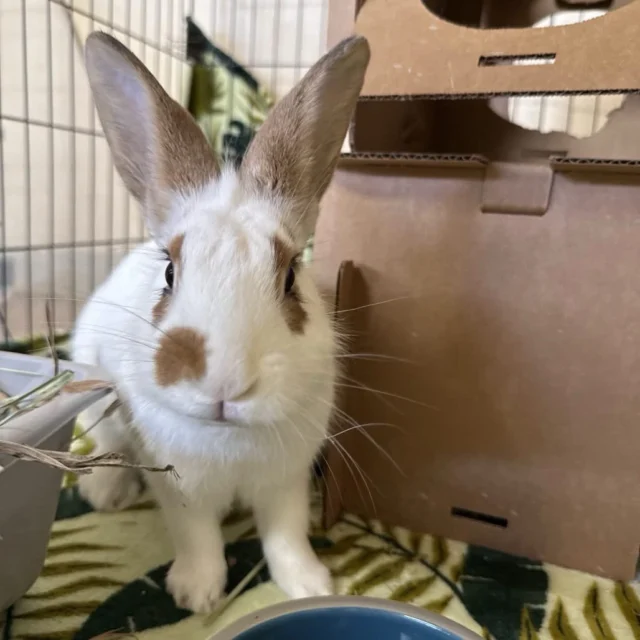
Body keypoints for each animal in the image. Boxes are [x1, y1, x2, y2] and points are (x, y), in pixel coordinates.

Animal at [71, 31, 370, 614]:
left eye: (290, 277)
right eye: (169, 270)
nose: (225, 385)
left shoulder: (287, 482)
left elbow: (286, 534)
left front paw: (309, 584)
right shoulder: (180, 488)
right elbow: (198, 538)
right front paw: (196, 596)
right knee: (109, 449)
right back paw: (106, 493)